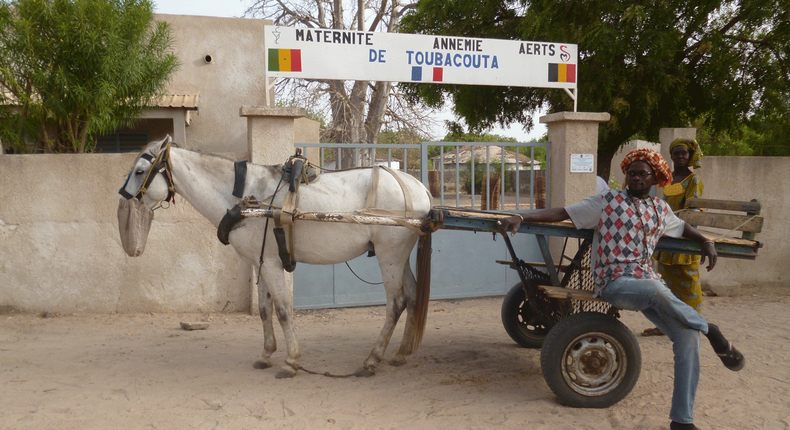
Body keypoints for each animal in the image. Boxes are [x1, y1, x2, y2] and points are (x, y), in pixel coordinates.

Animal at [117, 136, 434, 378]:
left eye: (140, 170)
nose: (123, 196)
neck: (248, 198)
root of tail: (417, 188)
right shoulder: (260, 261)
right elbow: (264, 309)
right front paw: (266, 354)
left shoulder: (271, 263)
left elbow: (282, 310)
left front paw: (291, 361)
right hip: (398, 256)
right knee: (413, 295)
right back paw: (401, 353)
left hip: (389, 255)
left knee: (396, 302)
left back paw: (372, 359)